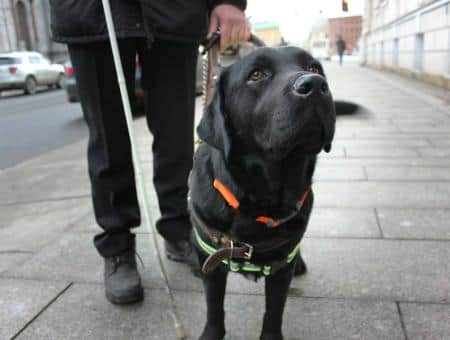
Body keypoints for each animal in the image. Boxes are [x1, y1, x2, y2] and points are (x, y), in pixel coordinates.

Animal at [188, 47, 336, 340]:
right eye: (256, 74)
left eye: (314, 68)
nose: (314, 85)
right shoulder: (212, 260)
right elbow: (214, 308)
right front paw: (211, 333)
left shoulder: (280, 265)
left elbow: (274, 312)